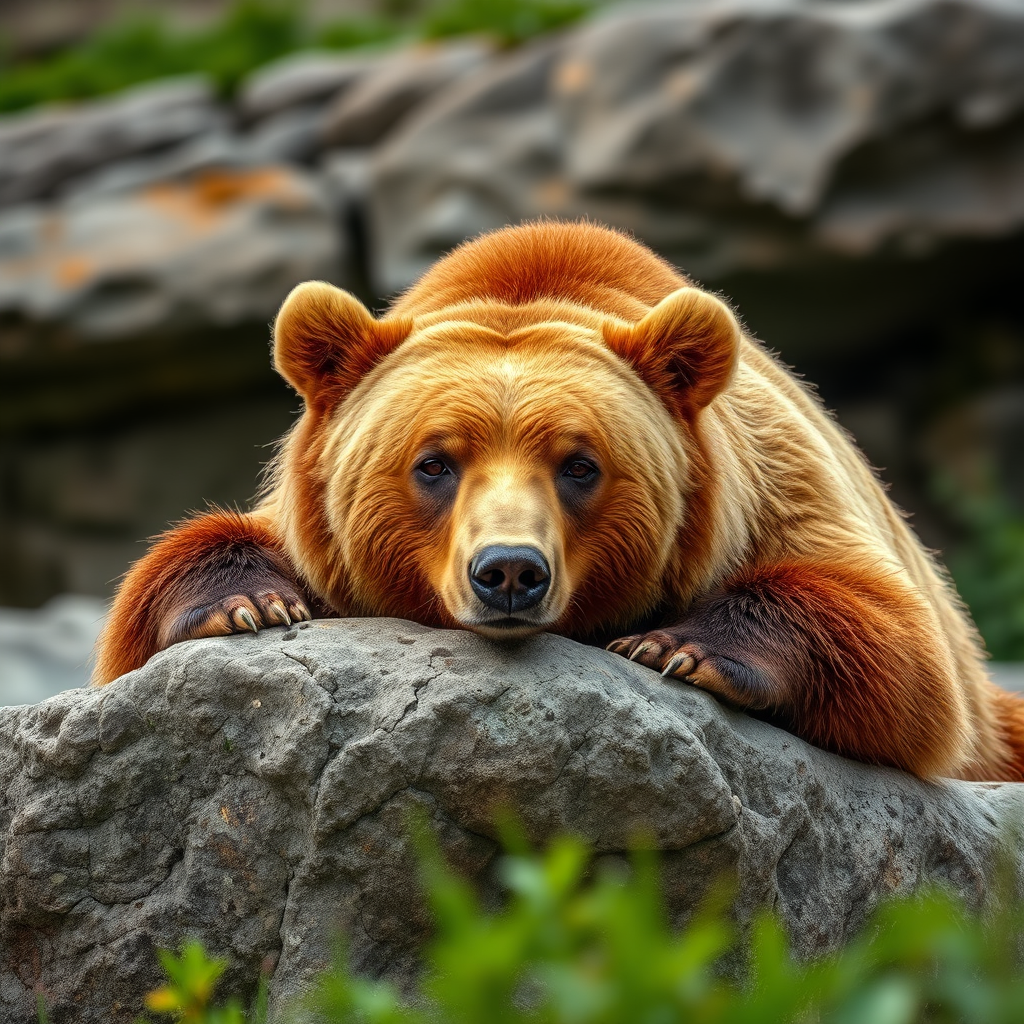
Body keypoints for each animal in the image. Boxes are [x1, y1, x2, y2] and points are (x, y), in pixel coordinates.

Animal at [92, 220, 1024, 782]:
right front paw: (247, 603)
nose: (509, 571)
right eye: (435, 463)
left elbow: (901, 647)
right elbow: (174, 579)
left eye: (580, 465)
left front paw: (678, 647)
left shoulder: (776, 489)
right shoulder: (306, 509)